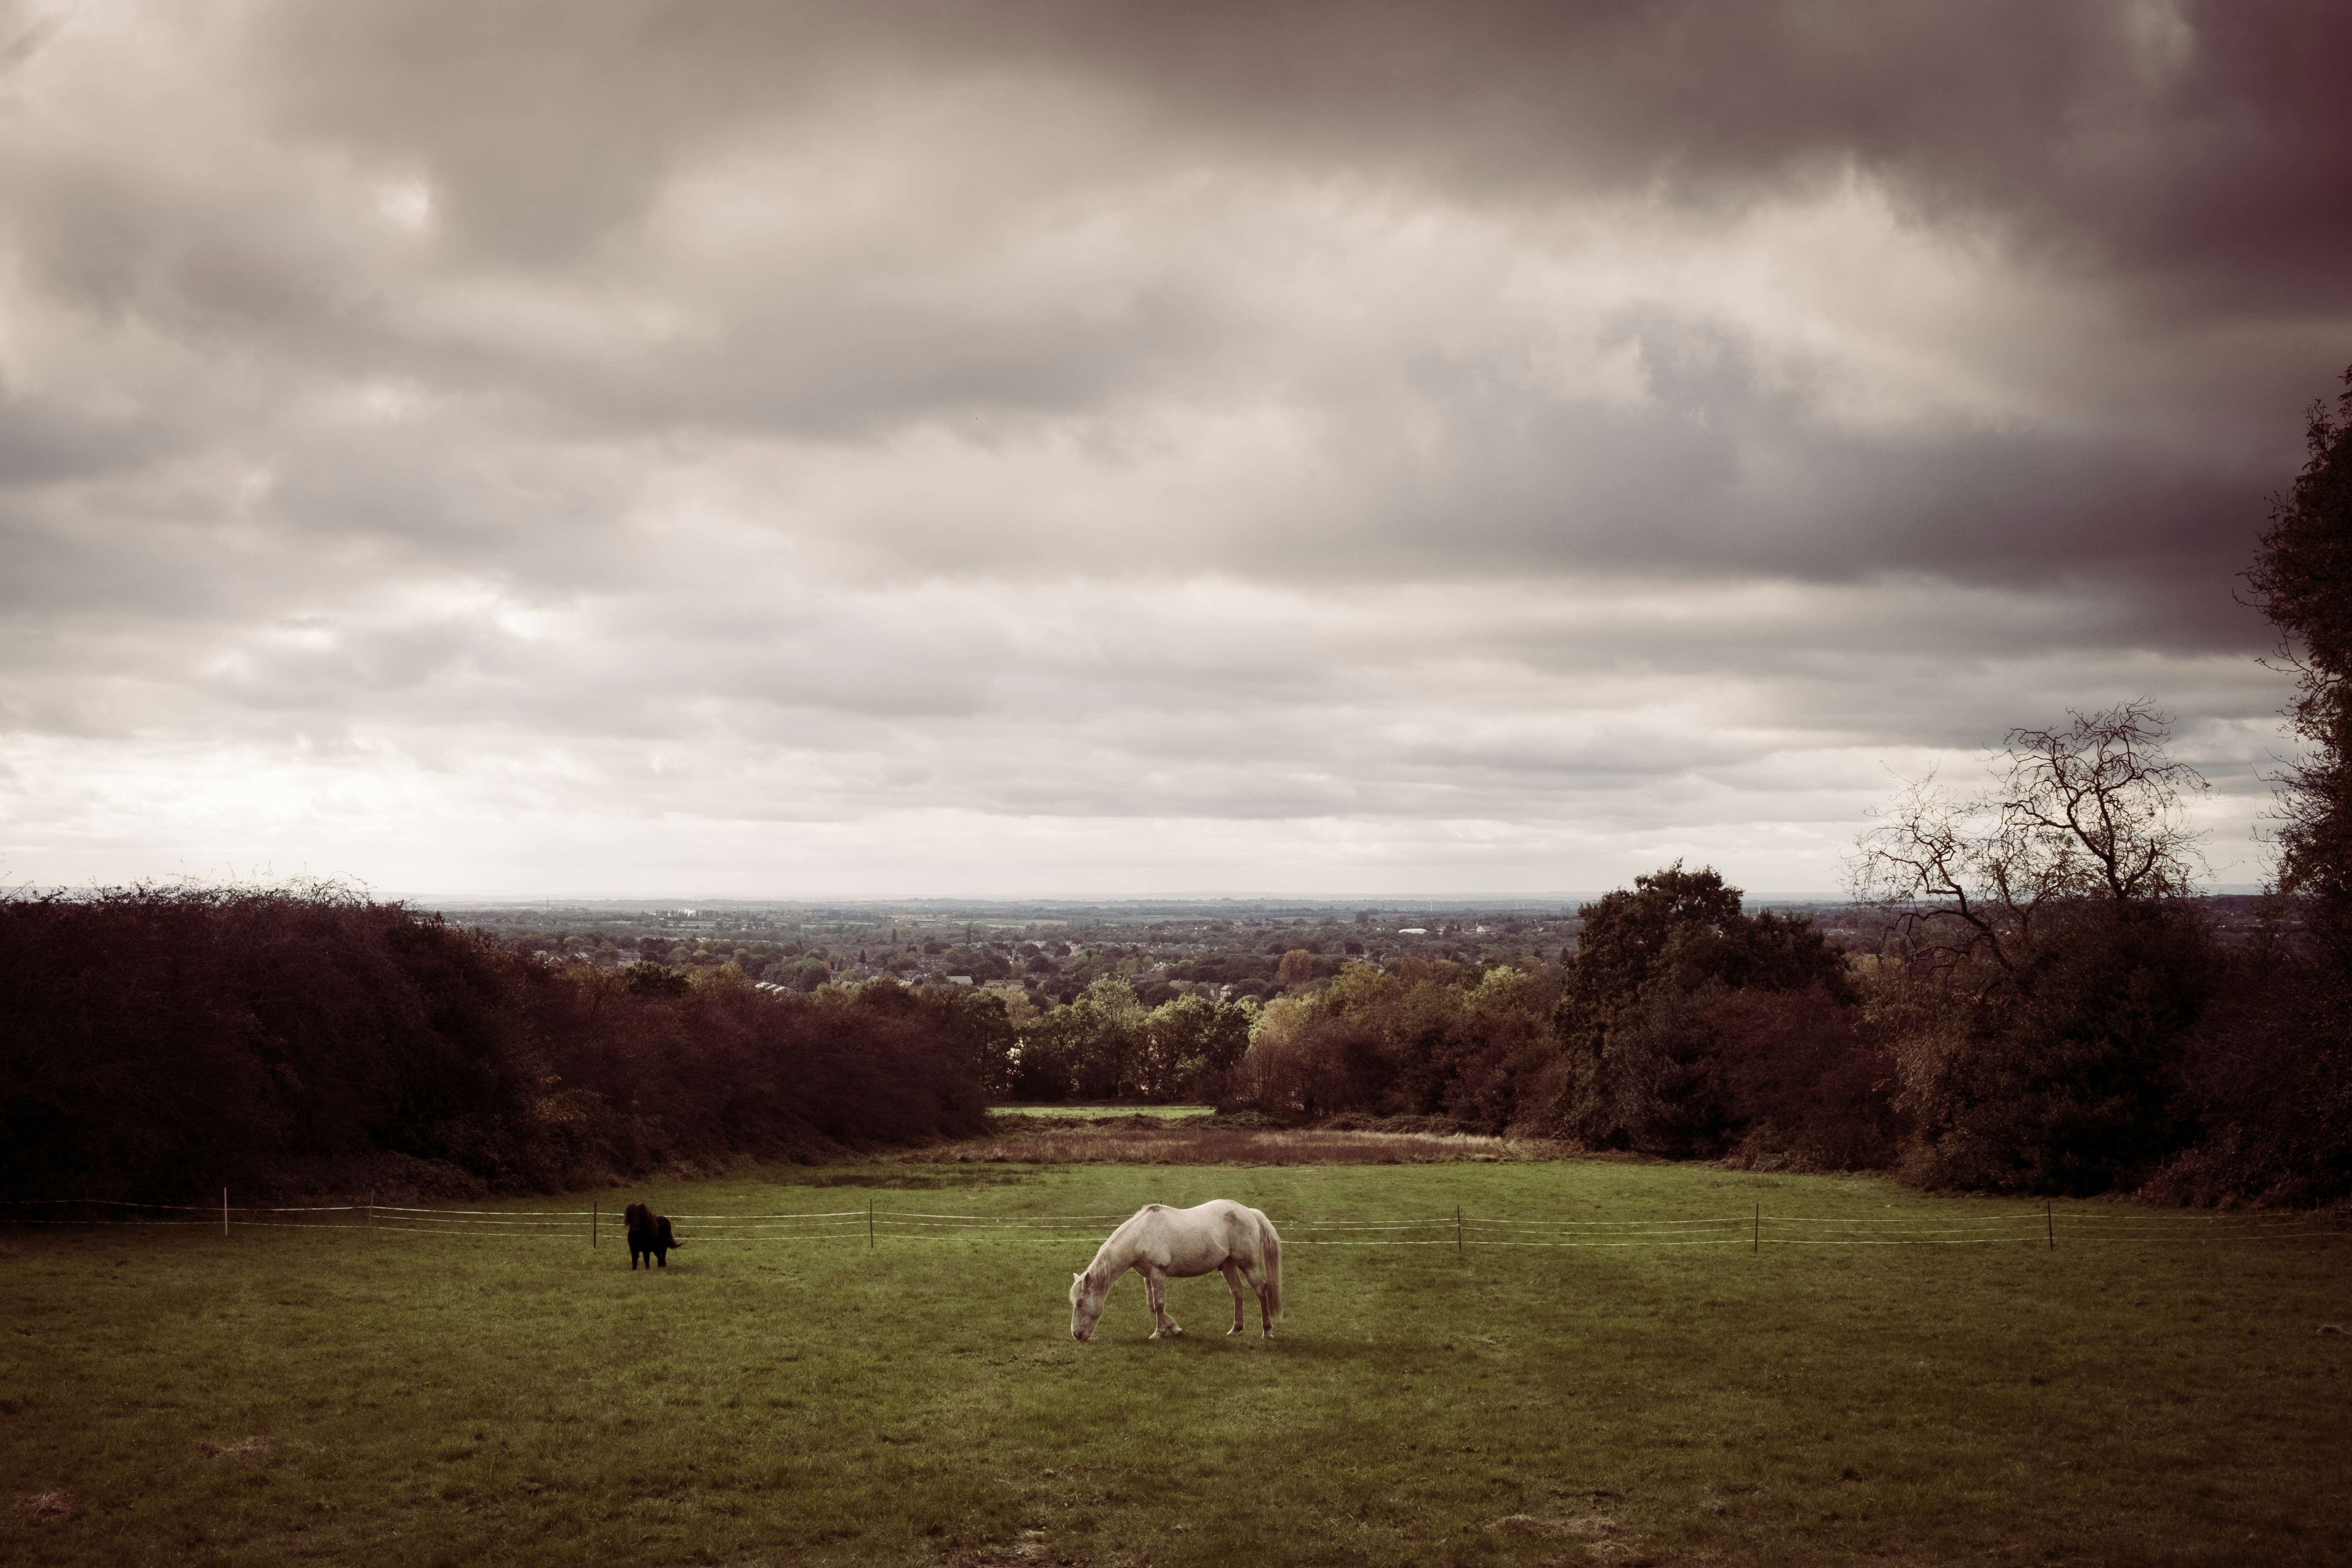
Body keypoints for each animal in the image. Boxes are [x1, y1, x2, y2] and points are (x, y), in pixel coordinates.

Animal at [623, 1202, 682, 1270]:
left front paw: (647, 1269)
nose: (635, 1227)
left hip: (664, 1246)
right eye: (631, 1213)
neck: (639, 1235)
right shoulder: (633, 1248)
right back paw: (659, 1266)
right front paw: (634, 1269)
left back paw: (664, 1266)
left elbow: (646, 1259)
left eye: (640, 1214)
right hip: (656, 1248)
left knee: (663, 1255)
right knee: (659, 1256)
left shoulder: (647, 1249)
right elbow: (634, 1259)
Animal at [1069, 1199, 1282, 1342]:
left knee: (1261, 1290)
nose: (1077, 1335)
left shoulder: (1158, 1274)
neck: (1141, 1236)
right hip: (1228, 1265)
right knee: (1237, 1292)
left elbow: (1160, 1304)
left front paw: (1159, 1333)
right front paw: (1175, 1329)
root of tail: (1250, 1212)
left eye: (1080, 1303)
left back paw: (1267, 1331)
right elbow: (1152, 1305)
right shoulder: (1148, 1276)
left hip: (1248, 1265)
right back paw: (1236, 1329)